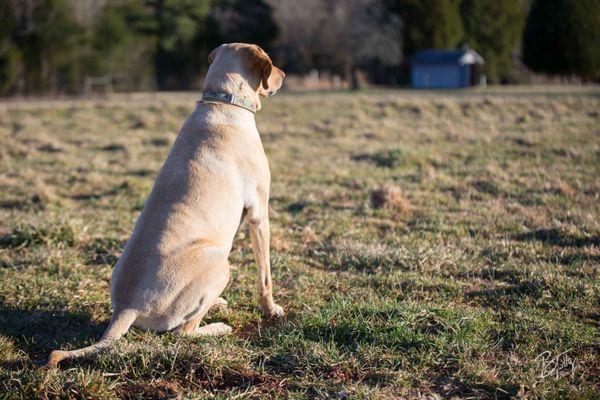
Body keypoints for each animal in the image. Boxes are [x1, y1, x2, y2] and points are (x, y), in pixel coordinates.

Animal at [45, 43, 284, 366]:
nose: (284, 75)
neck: (222, 101)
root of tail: (127, 308)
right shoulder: (259, 214)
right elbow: (265, 276)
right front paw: (271, 309)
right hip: (219, 262)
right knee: (183, 332)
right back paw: (218, 327)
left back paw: (217, 304)